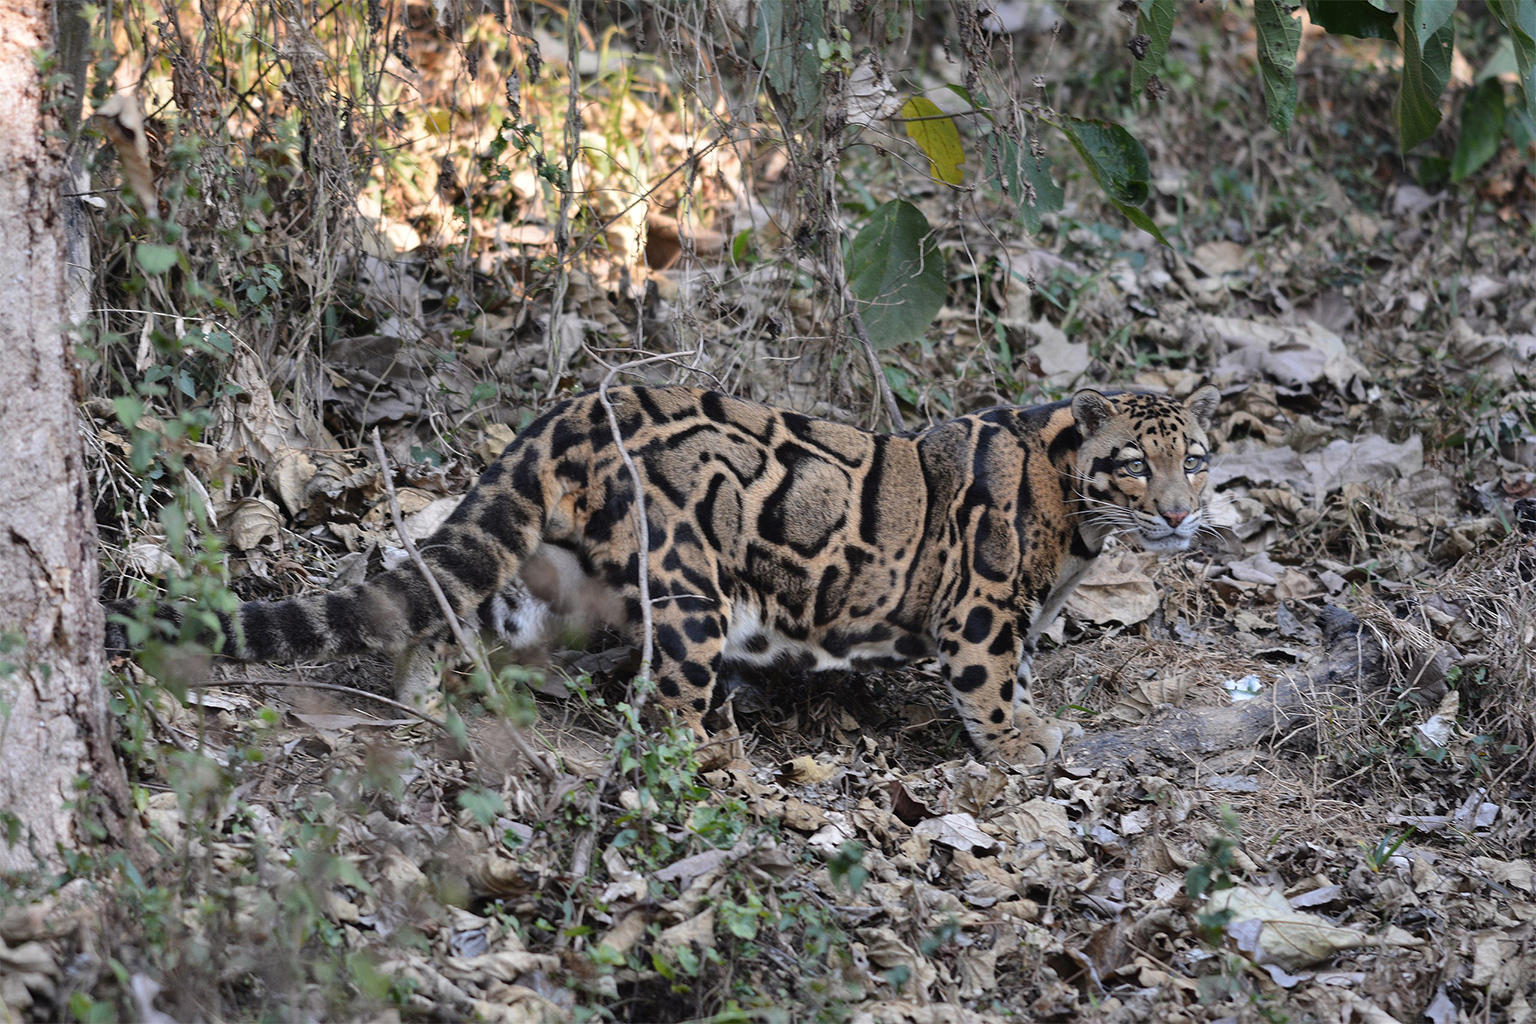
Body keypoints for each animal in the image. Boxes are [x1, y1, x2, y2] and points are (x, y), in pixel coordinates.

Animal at [108, 386, 1216, 767]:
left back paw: (428, 699)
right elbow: (990, 684)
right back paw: (707, 760)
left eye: (1195, 458)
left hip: (552, 579)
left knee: (450, 611)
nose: (1178, 512)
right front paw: (1021, 741)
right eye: (1134, 462)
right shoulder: (984, 607)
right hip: (689, 587)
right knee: (663, 709)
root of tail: (570, 412)